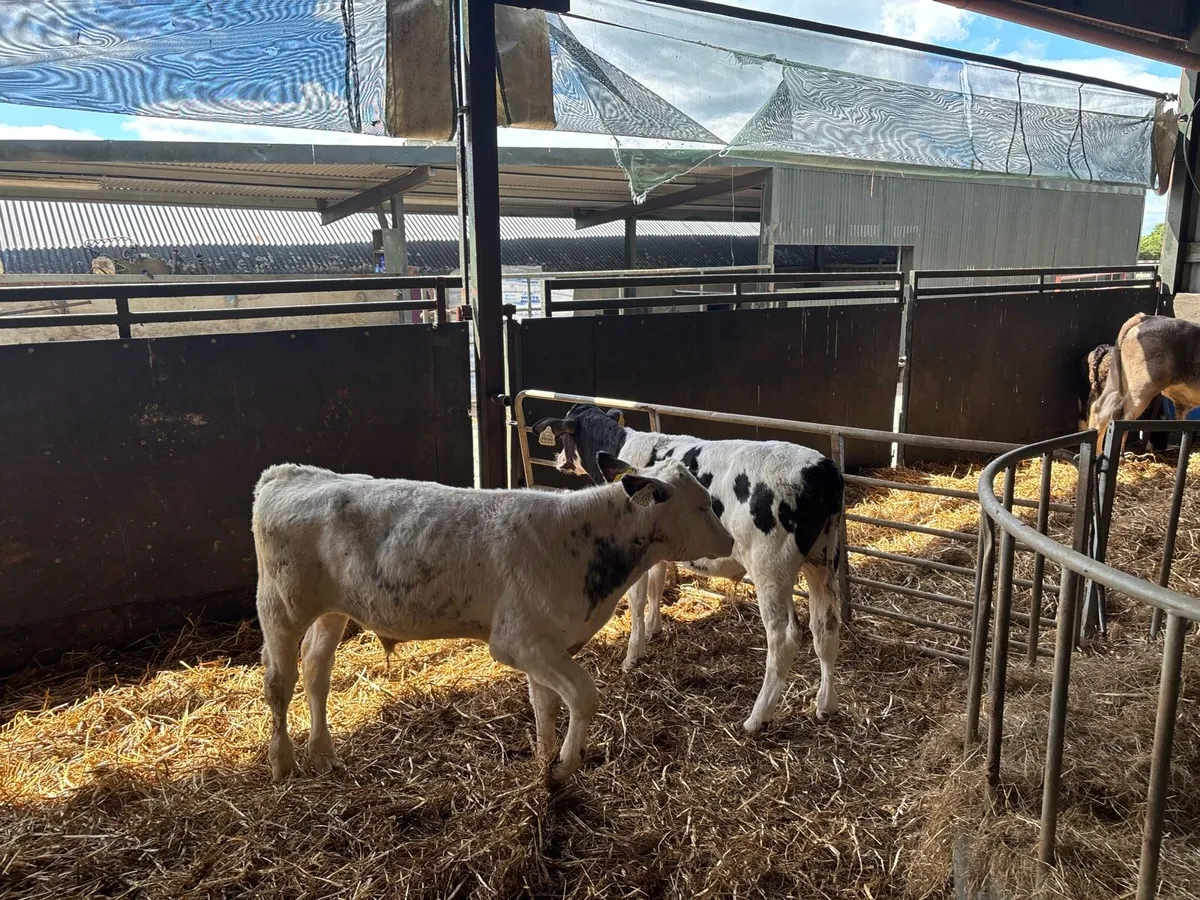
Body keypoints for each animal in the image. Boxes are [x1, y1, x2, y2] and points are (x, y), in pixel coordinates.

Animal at [252, 455, 733, 787]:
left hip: (331, 612)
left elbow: (545, 704)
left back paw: (322, 754)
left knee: (316, 672)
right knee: (279, 683)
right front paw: (565, 765)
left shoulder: (546, 644)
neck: (583, 542)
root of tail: (288, 472)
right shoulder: (519, 641)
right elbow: (583, 696)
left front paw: (543, 763)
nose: (729, 540)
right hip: (280, 609)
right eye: (703, 506)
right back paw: (282, 762)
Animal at [532, 404, 844, 733]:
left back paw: (757, 717)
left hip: (770, 568)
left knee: (784, 637)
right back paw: (826, 705)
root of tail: (822, 470)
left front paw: (632, 655)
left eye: (564, 438)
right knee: (826, 626)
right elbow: (657, 585)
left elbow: (637, 599)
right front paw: (654, 628)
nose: (557, 459)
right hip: (823, 559)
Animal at [1089, 313, 1200, 455]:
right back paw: (1120, 456)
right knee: (1123, 416)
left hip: (1116, 383)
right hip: (1142, 390)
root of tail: (1147, 317)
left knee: (1100, 409)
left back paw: (1098, 453)